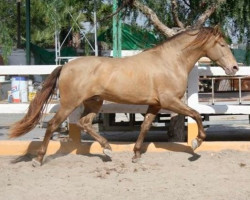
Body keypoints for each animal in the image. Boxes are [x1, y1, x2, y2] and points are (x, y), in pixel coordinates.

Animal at [8, 25, 238, 166]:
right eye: (222, 44)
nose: (234, 67)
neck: (170, 62)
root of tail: (64, 66)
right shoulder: (169, 101)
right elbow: (196, 114)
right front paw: (197, 142)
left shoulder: (155, 105)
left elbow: (145, 127)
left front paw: (136, 154)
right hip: (69, 104)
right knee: (52, 125)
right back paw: (38, 159)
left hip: (94, 103)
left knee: (84, 123)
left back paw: (107, 149)